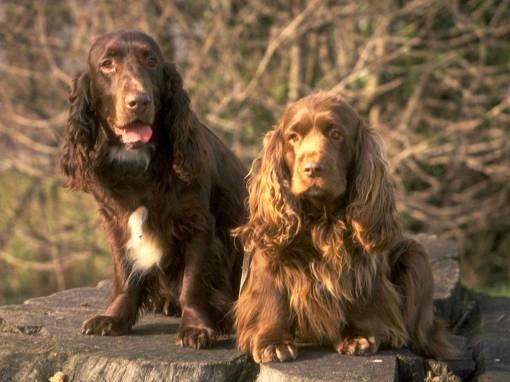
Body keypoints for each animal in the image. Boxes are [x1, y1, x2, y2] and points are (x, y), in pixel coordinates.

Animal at [59, 30, 247, 350]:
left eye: (151, 61)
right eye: (107, 64)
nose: (139, 101)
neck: (138, 164)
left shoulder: (198, 224)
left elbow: (192, 282)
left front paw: (197, 327)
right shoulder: (115, 222)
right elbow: (125, 274)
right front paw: (114, 318)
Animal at [235, 92, 458, 362]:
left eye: (336, 134)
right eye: (293, 137)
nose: (312, 169)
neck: (321, 218)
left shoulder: (360, 261)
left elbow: (360, 297)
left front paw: (358, 336)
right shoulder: (271, 255)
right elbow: (272, 298)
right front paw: (273, 342)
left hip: (415, 255)